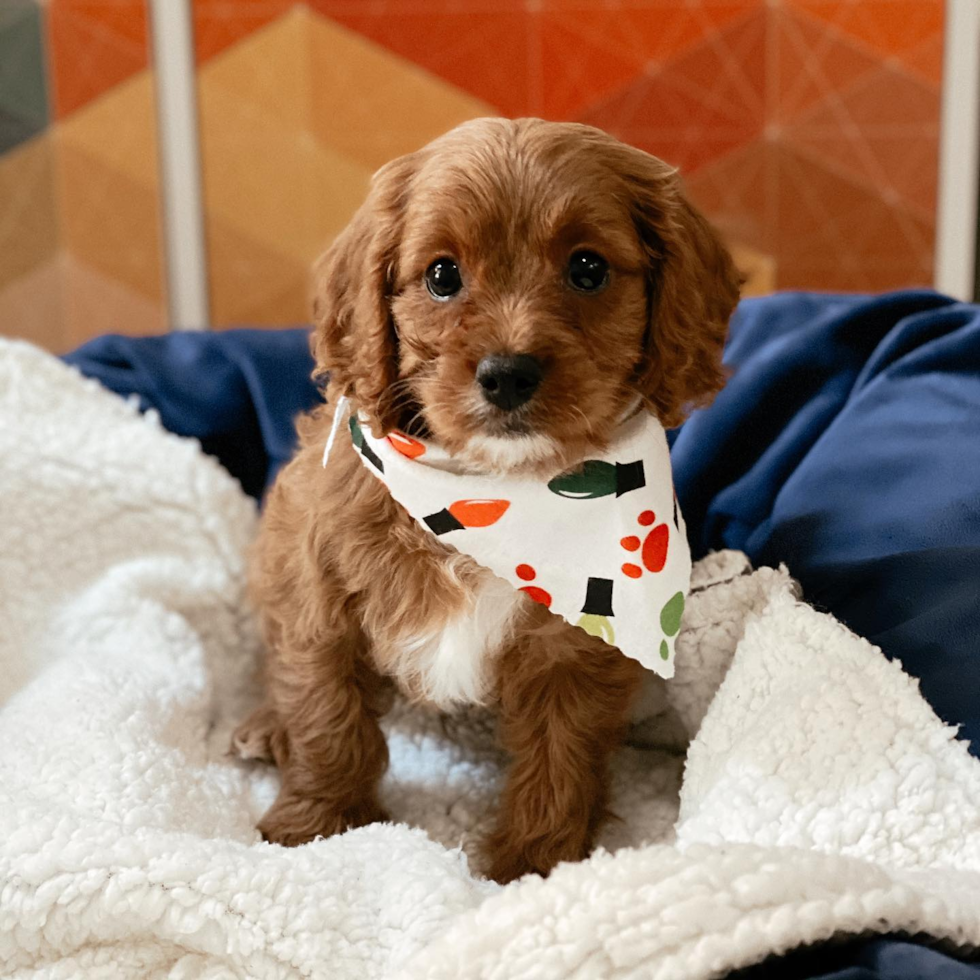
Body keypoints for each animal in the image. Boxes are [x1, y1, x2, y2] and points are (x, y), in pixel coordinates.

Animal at [232, 118, 736, 884]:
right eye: (443, 276)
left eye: (588, 269)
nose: (507, 374)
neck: (492, 489)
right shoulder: (317, 601)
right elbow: (328, 718)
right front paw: (313, 828)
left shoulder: (572, 655)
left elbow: (558, 761)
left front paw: (531, 866)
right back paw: (265, 726)